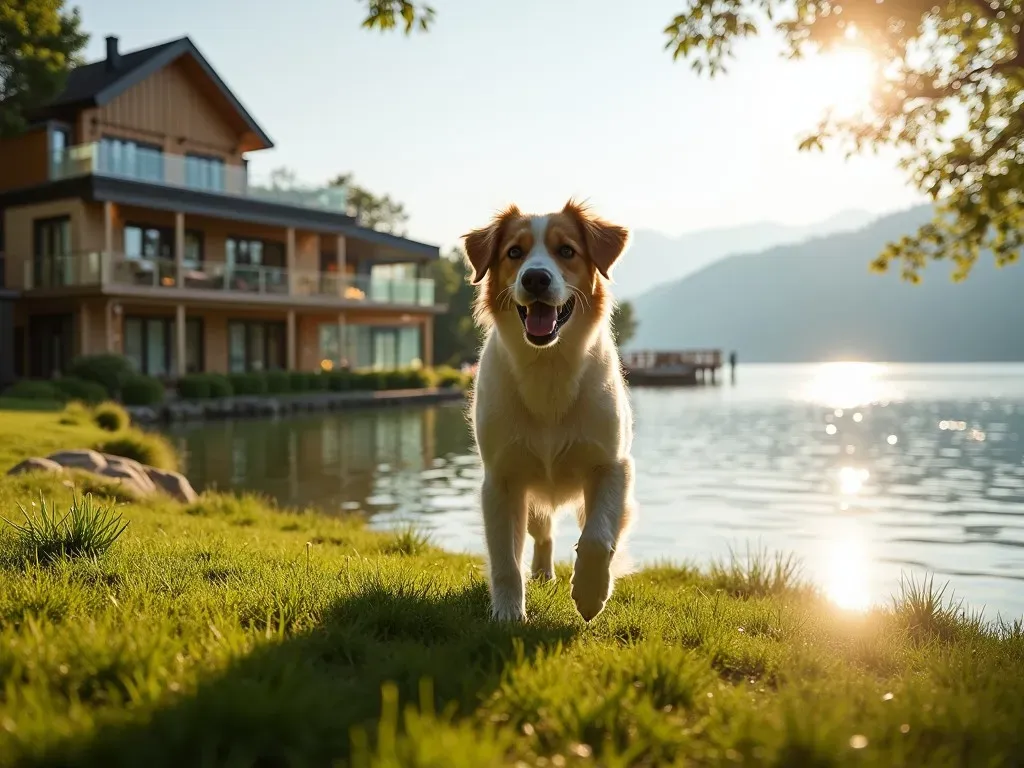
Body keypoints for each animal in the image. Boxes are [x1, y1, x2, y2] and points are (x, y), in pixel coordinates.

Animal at [462, 201, 634, 622]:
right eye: (514, 252)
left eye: (567, 250)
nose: (536, 278)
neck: (549, 367)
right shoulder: (502, 479)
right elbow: (505, 560)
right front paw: (508, 614)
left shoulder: (612, 466)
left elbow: (598, 537)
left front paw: (589, 593)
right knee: (541, 535)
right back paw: (541, 573)